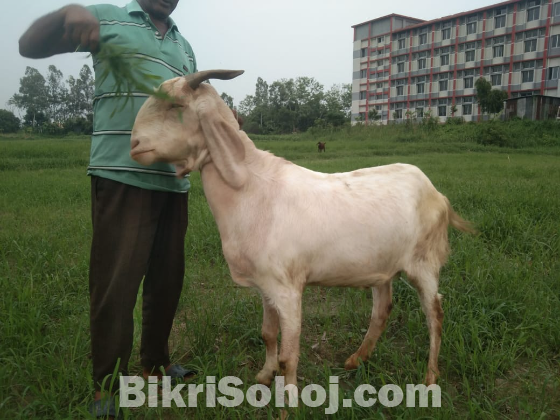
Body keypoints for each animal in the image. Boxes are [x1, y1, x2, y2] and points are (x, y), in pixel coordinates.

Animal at [131, 69, 476, 390]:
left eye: (175, 105)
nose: (134, 144)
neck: (252, 190)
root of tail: (437, 193)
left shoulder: (287, 288)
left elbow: (289, 355)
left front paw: (290, 400)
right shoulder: (265, 284)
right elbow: (268, 334)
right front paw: (264, 376)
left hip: (424, 264)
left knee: (434, 315)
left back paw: (430, 378)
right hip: (382, 266)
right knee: (382, 309)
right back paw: (356, 360)